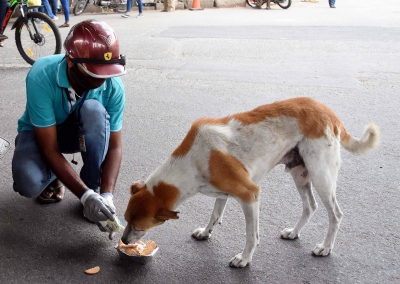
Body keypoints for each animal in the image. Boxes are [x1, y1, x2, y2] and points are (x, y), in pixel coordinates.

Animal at [122, 96, 382, 268]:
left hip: (321, 177)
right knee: (310, 206)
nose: (123, 240)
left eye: (139, 227)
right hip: (300, 173)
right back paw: (293, 233)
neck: (193, 160)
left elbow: (251, 235)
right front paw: (206, 232)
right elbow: (215, 214)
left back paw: (325, 247)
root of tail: (328, 111)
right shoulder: (222, 192)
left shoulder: (250, 194)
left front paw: (244, 259)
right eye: (126, 219)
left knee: (335, 214)